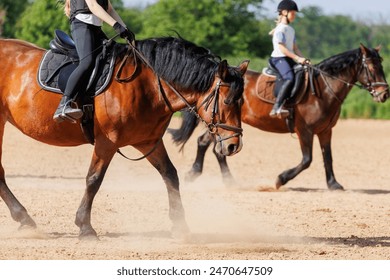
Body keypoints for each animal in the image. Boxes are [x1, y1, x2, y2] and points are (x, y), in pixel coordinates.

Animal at [0, 36, 250, 238]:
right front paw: (85, 227)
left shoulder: (148, 142)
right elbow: (94, 180)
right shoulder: (107, 142)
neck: (146, 85)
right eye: (228, 101)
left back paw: (24, 219)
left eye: (241, 102)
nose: (234, 146)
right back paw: (24, 218)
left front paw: (180, 226)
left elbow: (170, 175)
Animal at [169, 44, 388, 190]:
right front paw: (280, 179)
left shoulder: (326, 130)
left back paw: (209, 176)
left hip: (220, 124)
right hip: (221, 123)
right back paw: (213, 177)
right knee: (210, 144)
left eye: (381, 66)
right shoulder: (304, 130)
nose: (385, 94)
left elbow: (328, 157)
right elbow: (307, 160)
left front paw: (334, 184)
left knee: (210, 144)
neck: (322, 90)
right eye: (372, 68)